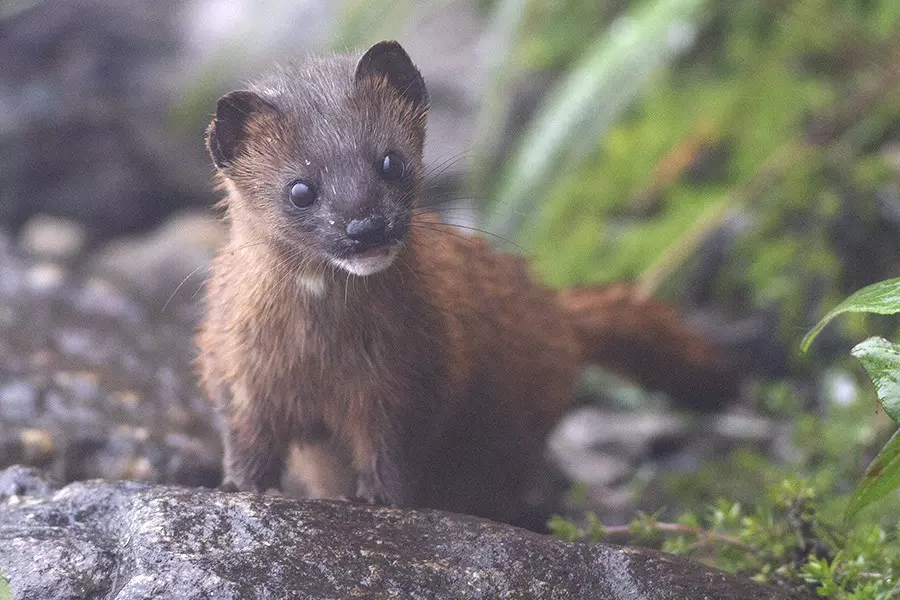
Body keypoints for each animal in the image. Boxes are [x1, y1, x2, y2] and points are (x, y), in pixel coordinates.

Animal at [197, 39, 740, 524]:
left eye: (391, 161)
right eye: (300, 190)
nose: (367, 227)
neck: (322, 353)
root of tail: (557, 312)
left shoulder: (410, 371)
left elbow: (392, 445)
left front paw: (378, 500)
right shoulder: (237, 368)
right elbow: (248, 436)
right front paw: (241, 487)